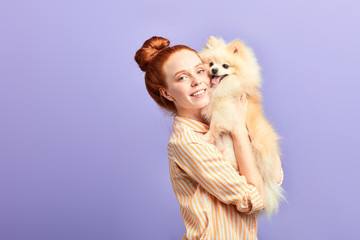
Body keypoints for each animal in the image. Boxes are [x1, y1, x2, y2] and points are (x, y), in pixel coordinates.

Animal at [198, 35, 286, 218]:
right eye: (211, 64)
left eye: (225, 66)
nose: (214, 70)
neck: (220, 87)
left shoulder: (224, 110)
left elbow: (215, 126)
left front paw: (206, 137)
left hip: (258, 145)